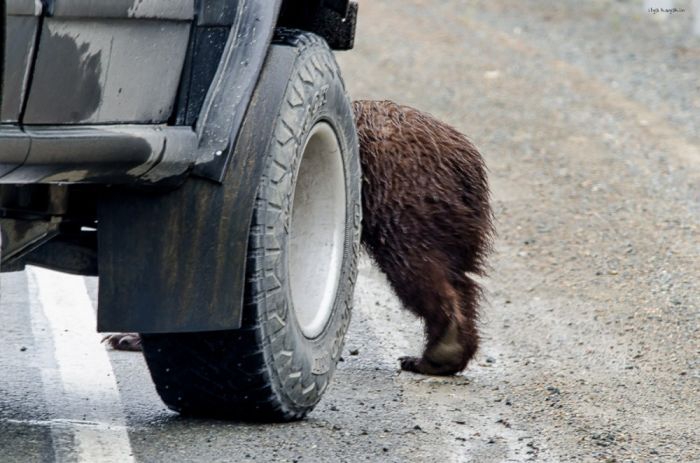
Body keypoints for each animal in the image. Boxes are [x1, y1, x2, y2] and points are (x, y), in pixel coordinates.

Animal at [106, 100, 494, 376]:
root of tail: (466, 159)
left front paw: (130, 335)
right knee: (457, 275)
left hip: (401, 194)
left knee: (417, 264)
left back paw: (437, 351)